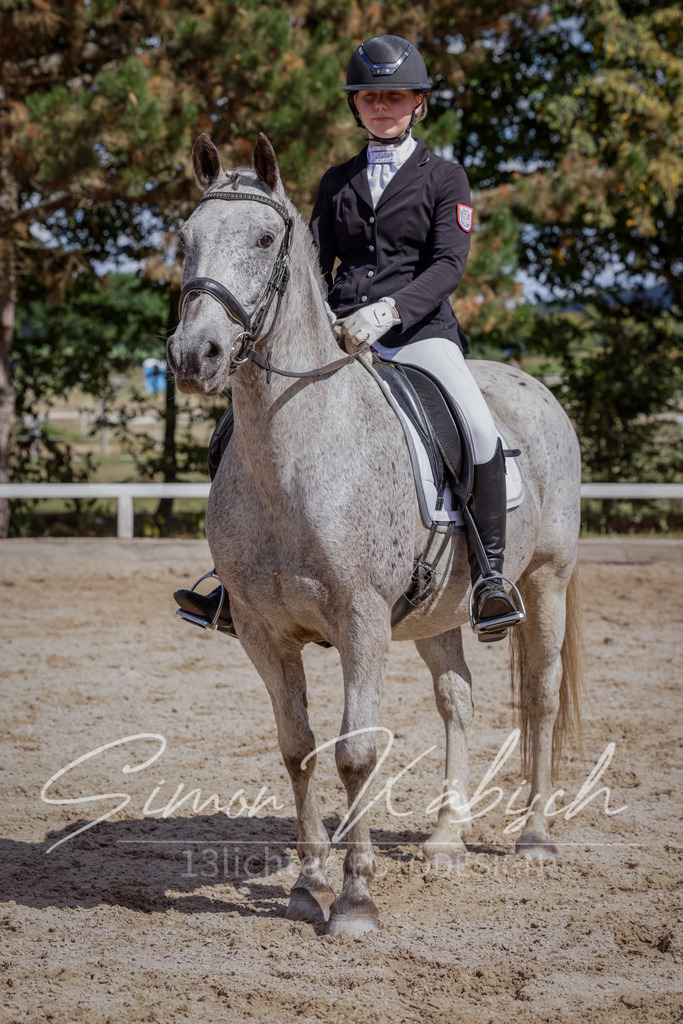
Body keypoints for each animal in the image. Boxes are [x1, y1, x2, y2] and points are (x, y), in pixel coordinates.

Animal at [167, 132, 584, 938]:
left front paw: (355, 901)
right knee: (457, 699)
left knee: (541, 697)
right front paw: (307, 887)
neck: (294, 456)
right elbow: (298, 749)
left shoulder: (360, 621)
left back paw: (537, 836)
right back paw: (446, 840)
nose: (193, 356)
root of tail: (533, 387)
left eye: (263, 240)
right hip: (436, 613)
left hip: (545, 580)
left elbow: (356, 751)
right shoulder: (264, 630)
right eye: (186, 240)